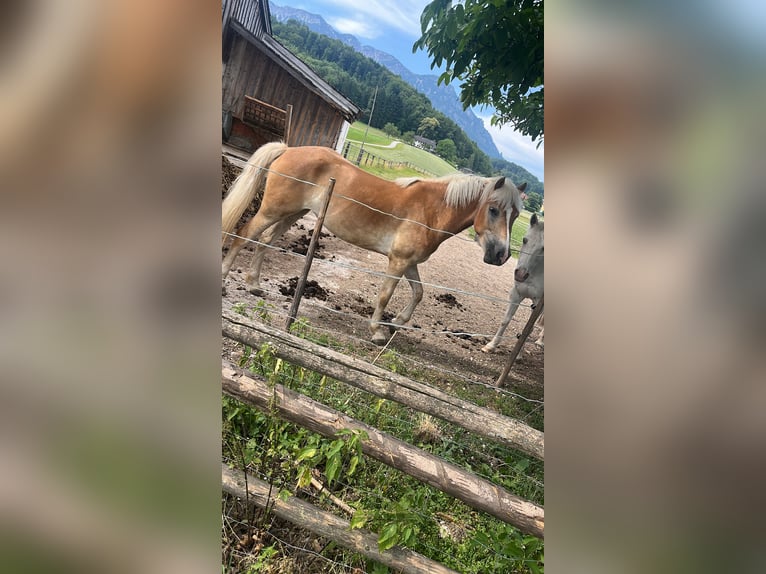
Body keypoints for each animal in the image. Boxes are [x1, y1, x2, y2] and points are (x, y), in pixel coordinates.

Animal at [219, 143, 524, 346]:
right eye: (494, 210)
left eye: (516, 215)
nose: (501, 255)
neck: (432, 210)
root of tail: (289, 149)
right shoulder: (398, 261)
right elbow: (385, 295)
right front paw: (378, 330)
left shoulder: (409, 263)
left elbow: (419, 293)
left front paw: (397, 323)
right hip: (272, 211)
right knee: (244, 234)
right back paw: (224, 280)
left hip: (293, 214)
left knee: (265, 242)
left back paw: (254, 284)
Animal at [484, 214, 544, 354]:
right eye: (524, 240)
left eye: (543, 248)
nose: (520, 275)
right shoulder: (517, 294)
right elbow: (505, 321)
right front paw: (491, 345)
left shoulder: (539, 304)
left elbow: (529, 329)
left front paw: (518, 354)